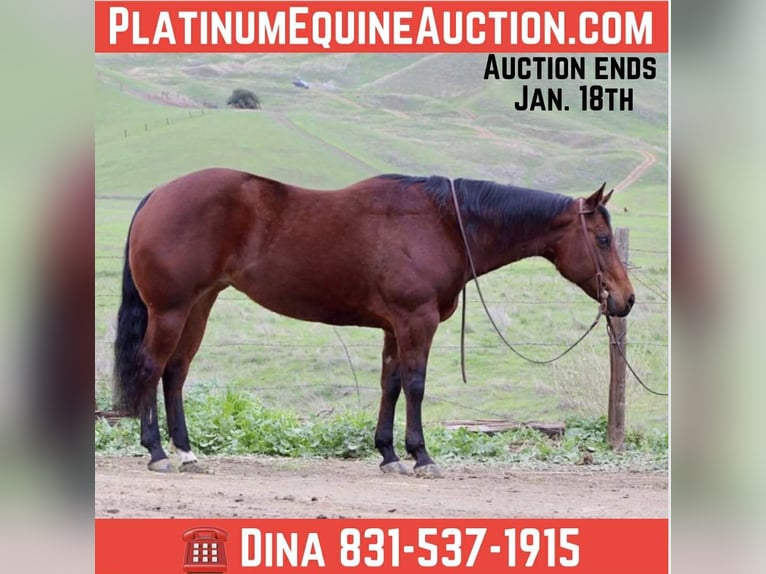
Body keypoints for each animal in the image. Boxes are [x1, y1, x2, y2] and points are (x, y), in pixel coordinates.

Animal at [113, 168, 634, 475]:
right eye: (602, 239)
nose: (625, 300)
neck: (443, 224)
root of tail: (159, 193)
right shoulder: (416, 321)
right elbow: (416, 385)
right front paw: (421, 456)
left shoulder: (393, 327)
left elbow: (391, 385)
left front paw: (387, 454)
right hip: (171, 309)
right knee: (152, 368)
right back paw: (157, 452)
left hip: (199, 305)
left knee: (175, 373)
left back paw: (185, 451)